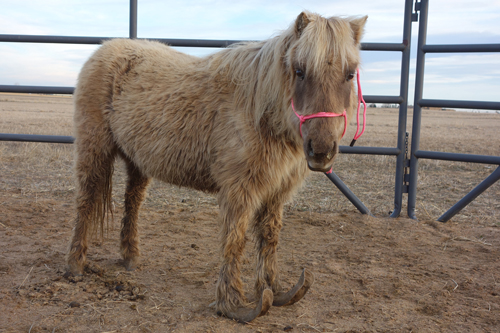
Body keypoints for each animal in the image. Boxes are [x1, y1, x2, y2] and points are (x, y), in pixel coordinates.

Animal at [67, 11, 368, 320]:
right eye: (299, 71)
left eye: (349, 74)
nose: (321, 150)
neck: (259, 111)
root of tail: (104, 50)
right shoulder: (240, 190)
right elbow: (235, 239)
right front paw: (232, 303)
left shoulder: (276, 191)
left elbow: (270, 235)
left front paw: (274, 288)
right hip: (94, 150)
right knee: (86, 202)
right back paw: (75, 265)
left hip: (137, 161)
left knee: (132, 202)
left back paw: (130, 257)